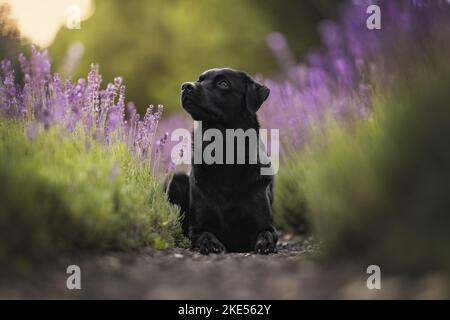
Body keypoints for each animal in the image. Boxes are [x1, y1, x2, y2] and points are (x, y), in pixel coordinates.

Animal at [166, 68, 278, 255]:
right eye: (200, 80)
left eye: (223, 83)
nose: (186, 86)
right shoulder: (197, 228)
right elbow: (205, 234)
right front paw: (211, 244)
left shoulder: (266, 225)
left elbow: (267, 233)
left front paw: (265, 244)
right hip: (175, 180)